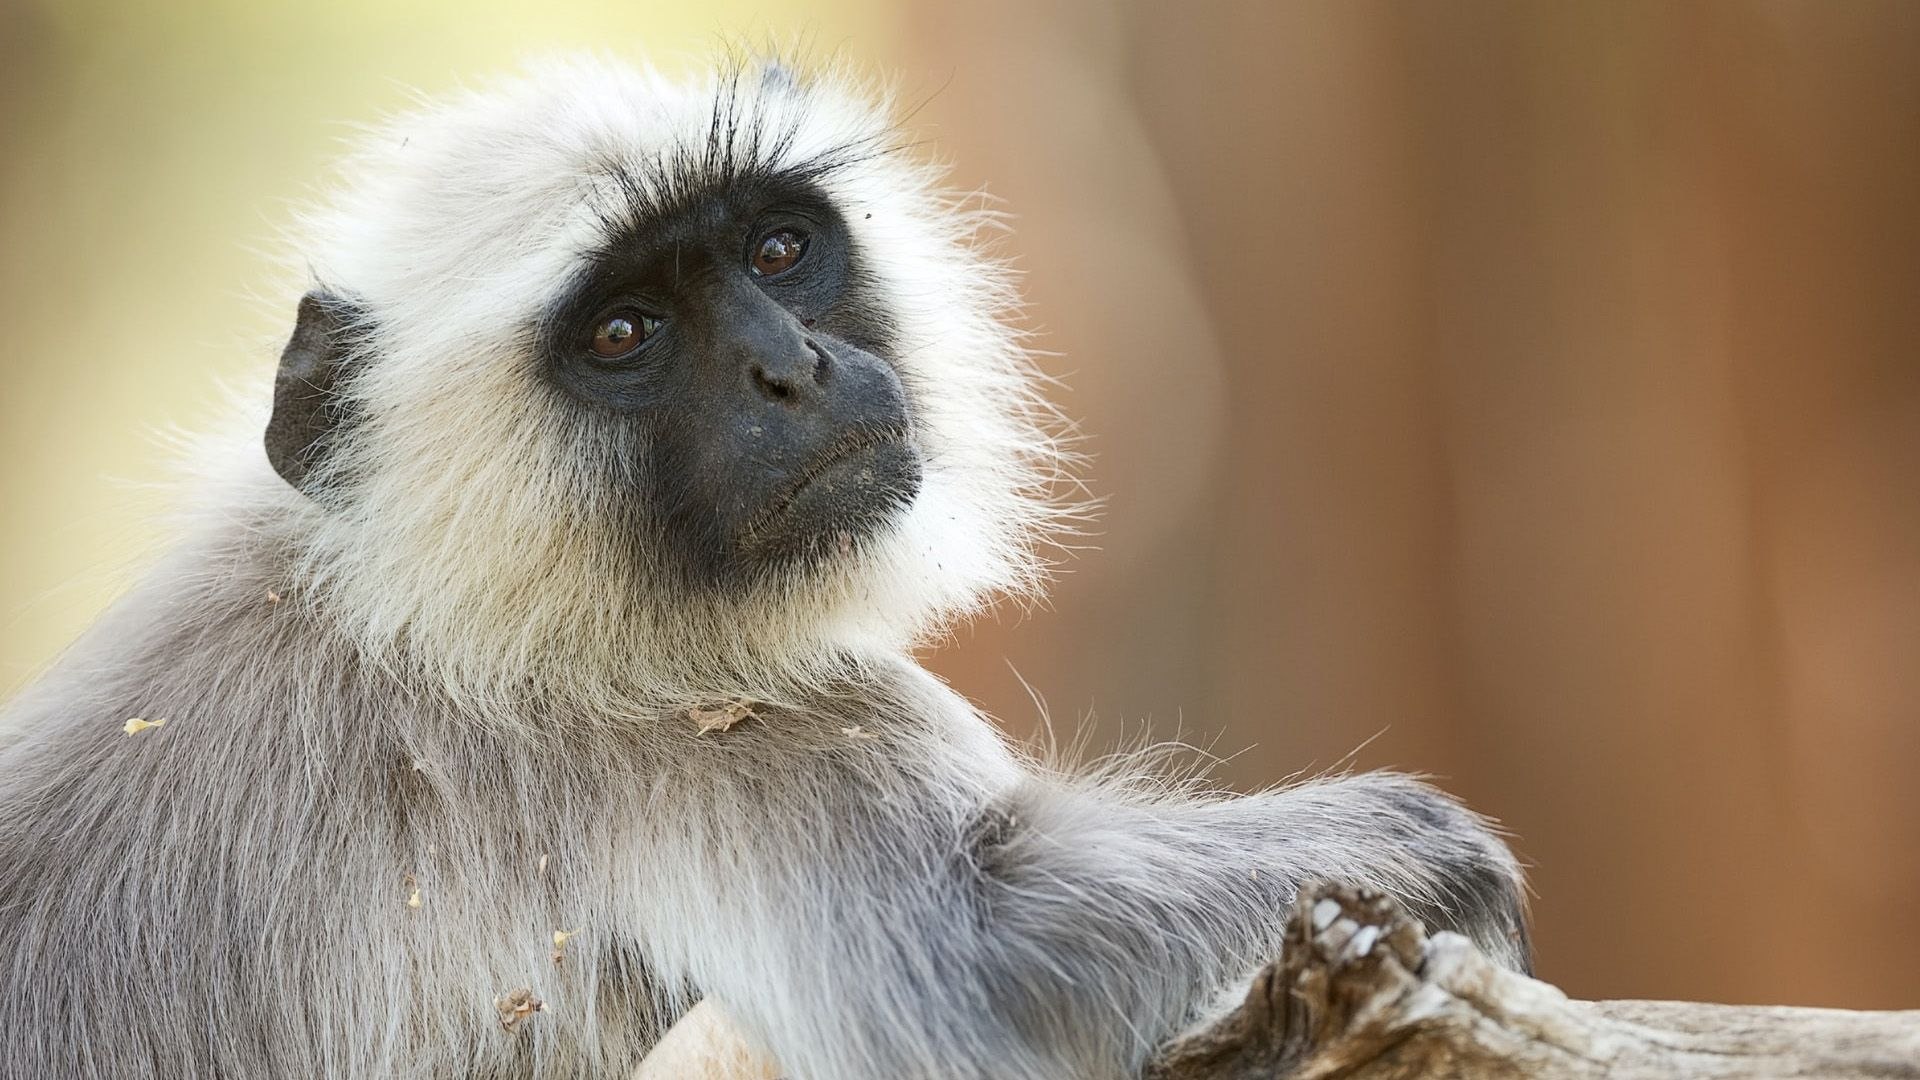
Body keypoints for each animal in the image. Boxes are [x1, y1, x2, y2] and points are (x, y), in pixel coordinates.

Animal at [0, 52, 1528, 1076]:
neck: (407, 594)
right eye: (624, 333)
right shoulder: (703, 727)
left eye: (780, 250)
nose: (789, 370)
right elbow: (978, 969)